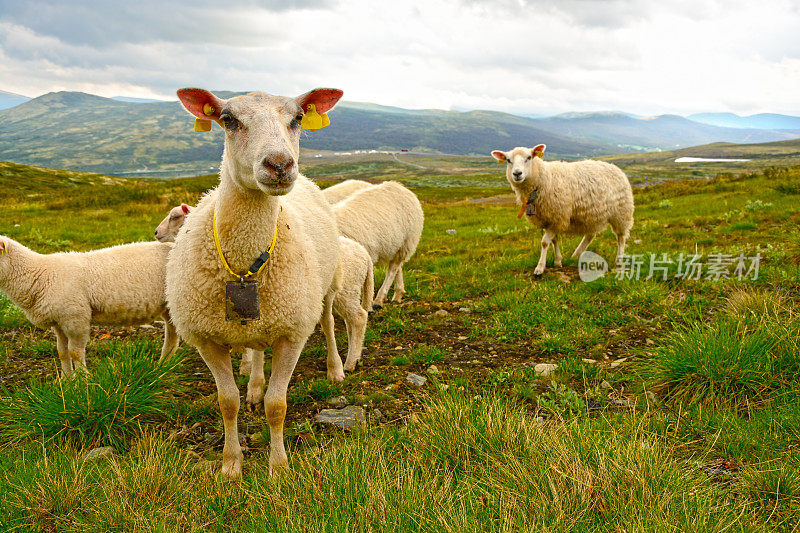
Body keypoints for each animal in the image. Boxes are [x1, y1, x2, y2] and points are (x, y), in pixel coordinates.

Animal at [0, 235, 178, 376]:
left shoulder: (75, 318)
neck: (41, 274)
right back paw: (164, 365)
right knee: (172, 333)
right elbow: (62, 352)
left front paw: (82, 380)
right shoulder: (59, 322)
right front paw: (66, 380)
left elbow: (75, 352)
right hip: (168, 307)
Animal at [167, 87, 342, 478]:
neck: (244, 267)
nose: (280, 165)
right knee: (257, 350)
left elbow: (278, 405)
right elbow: (226, 402)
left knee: (327, 321)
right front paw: (231, 465)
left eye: (297, 118)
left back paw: (336, 368)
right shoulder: (206, 340)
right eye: (228, 119)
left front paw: (279, 466)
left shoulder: (292, 334)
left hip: (323, 288)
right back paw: (255, 385)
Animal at [490, 145, 636, 278]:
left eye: (529, 157)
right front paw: (558, 261)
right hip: (593, 214)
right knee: (590, 235)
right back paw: (576, 255)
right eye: (508, 160)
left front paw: (539, 268)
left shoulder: (557, 215)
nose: (517, 173)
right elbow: (554, 240)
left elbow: (544, 242)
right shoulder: (550, 218)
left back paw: (619, 260)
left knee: (621, 237)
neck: (544, 178)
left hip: (621, 212)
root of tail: (615, 167)